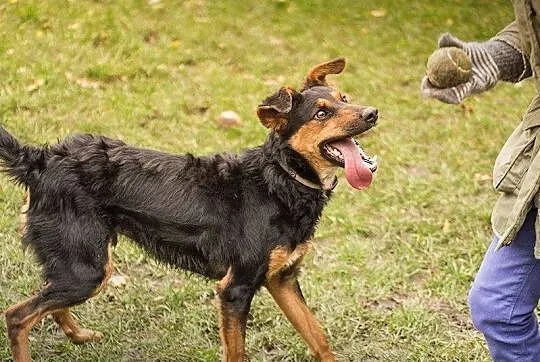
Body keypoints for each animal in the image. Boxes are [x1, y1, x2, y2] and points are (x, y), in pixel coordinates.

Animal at [2, 58, 378, 360]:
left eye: (346, 99)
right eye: (321, 113)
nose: (372, 113)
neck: (281, 179)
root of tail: (42, 159)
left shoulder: (282, 278)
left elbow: (319, 338)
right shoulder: (235, 289)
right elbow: (238, 353)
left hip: (78, 264)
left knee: (47, 299)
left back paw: (78, 335)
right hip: (87, 271)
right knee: (17, 317)